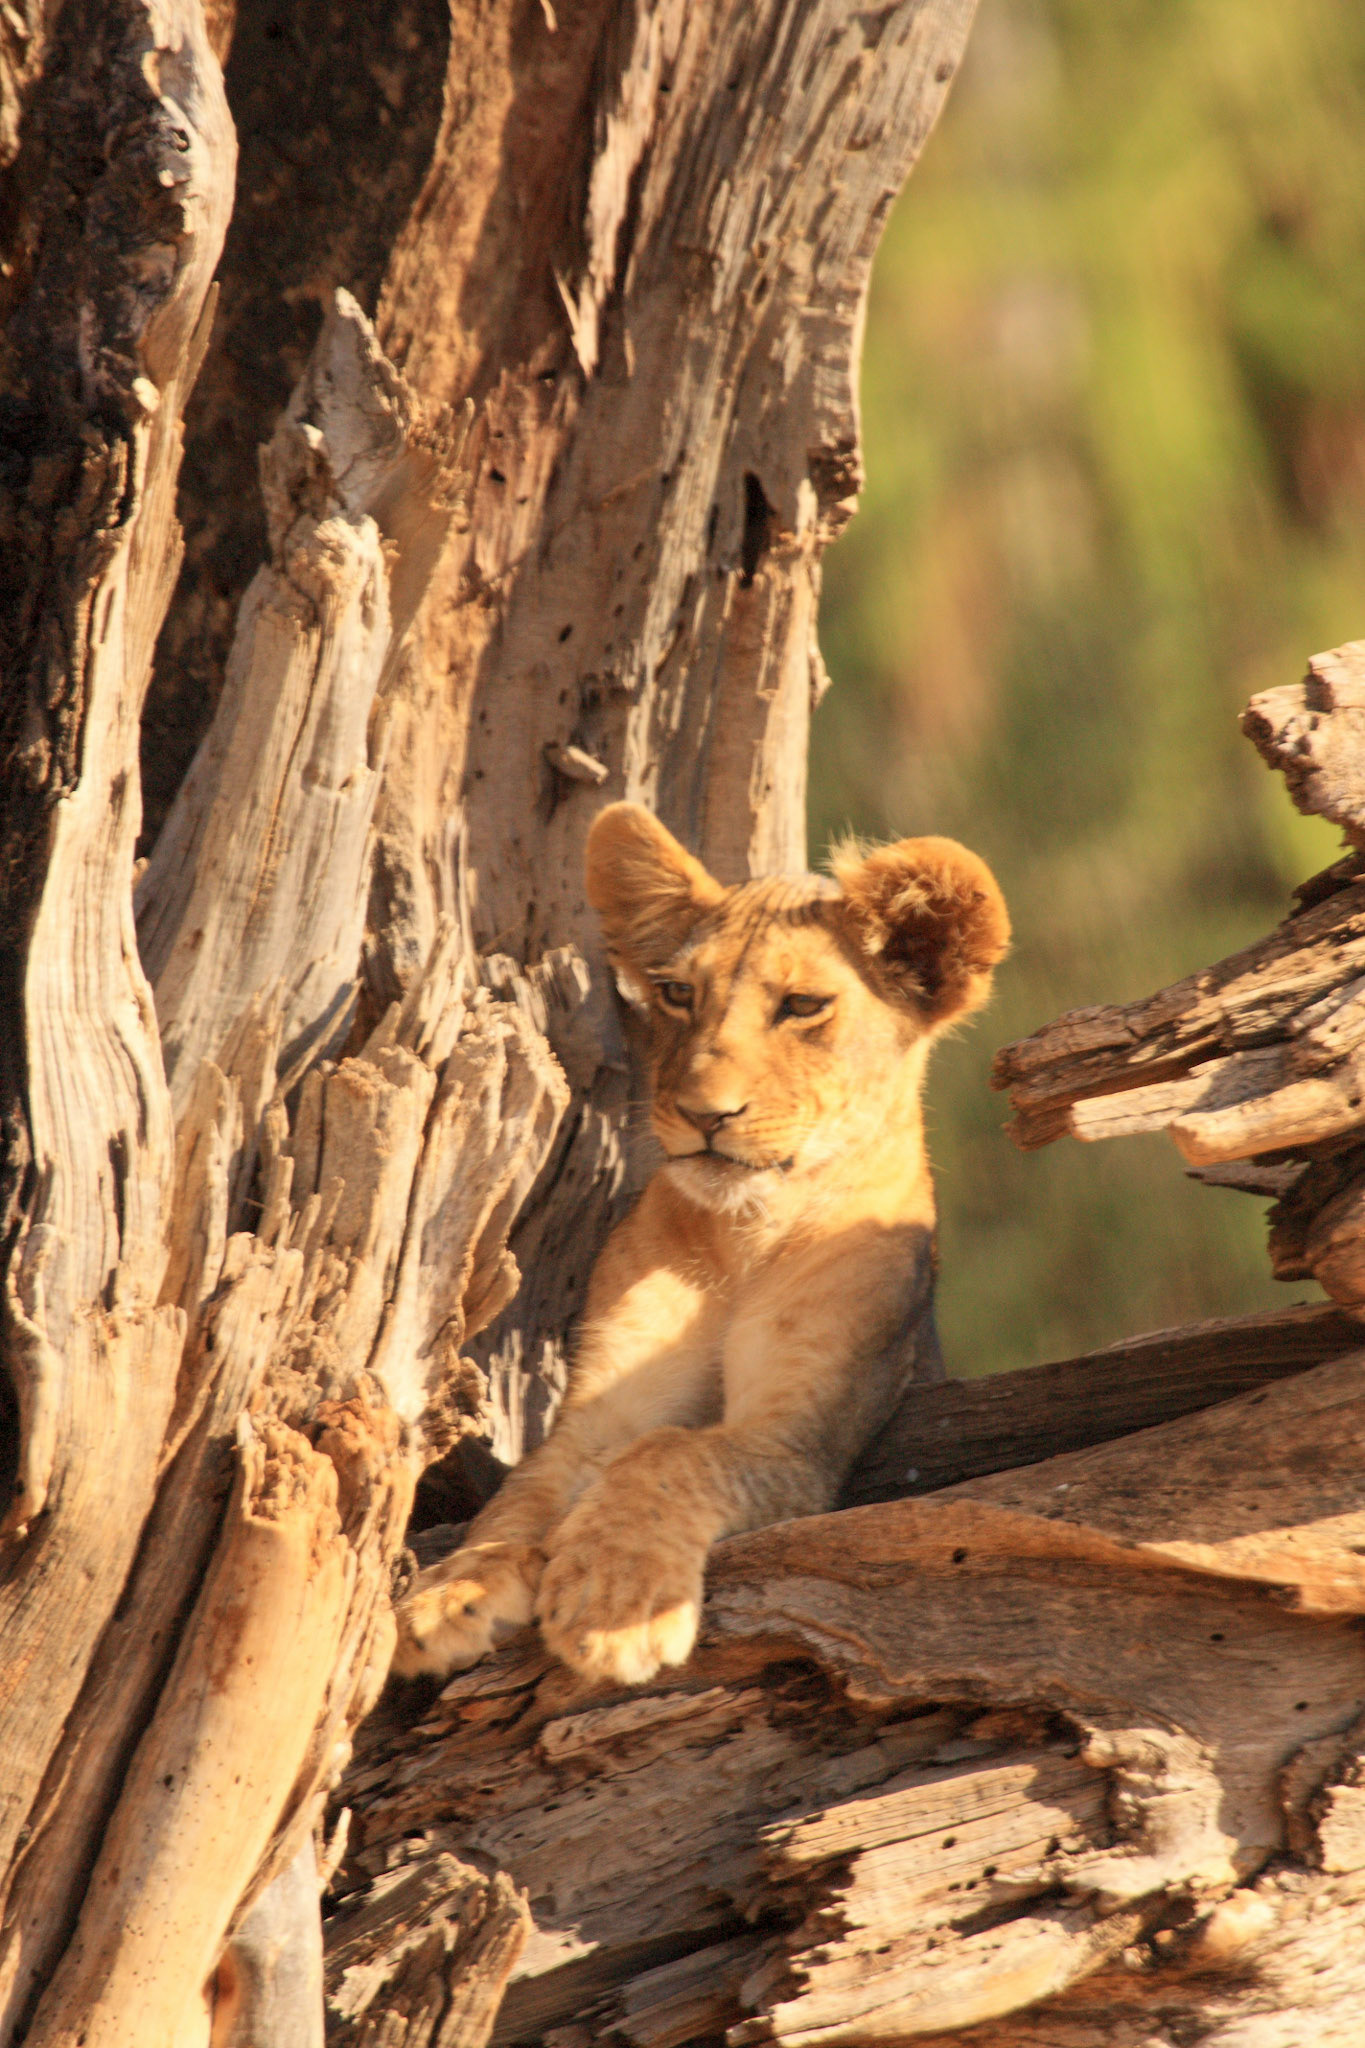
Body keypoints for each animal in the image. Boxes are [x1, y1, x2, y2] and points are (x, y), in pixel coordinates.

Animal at [392, 802, 1009, 1689]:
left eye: (802, 1005)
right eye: (678, 993)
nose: (701, 1113)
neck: (741, 1236)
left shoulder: (798, 1439)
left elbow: (672, 1454)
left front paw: (614, 1603)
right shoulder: (598, 1414)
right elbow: (526, 1495)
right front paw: (452, 1590)